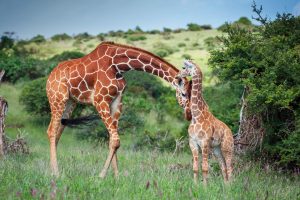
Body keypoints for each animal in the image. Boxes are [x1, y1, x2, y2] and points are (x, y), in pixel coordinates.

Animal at [46, 41, 190, 177]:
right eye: (184, 94)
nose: (189, 114)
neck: (118, 65)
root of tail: (50, 76)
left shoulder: (117, 101)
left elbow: (112, 140)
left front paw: (116, 176)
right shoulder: (100, 100)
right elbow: (116, 139)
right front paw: (101, 176)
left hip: (71, 103)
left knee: (58, 131)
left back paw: (52, 170)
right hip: (57, 99)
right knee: (51, 130)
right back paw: (56, 173)